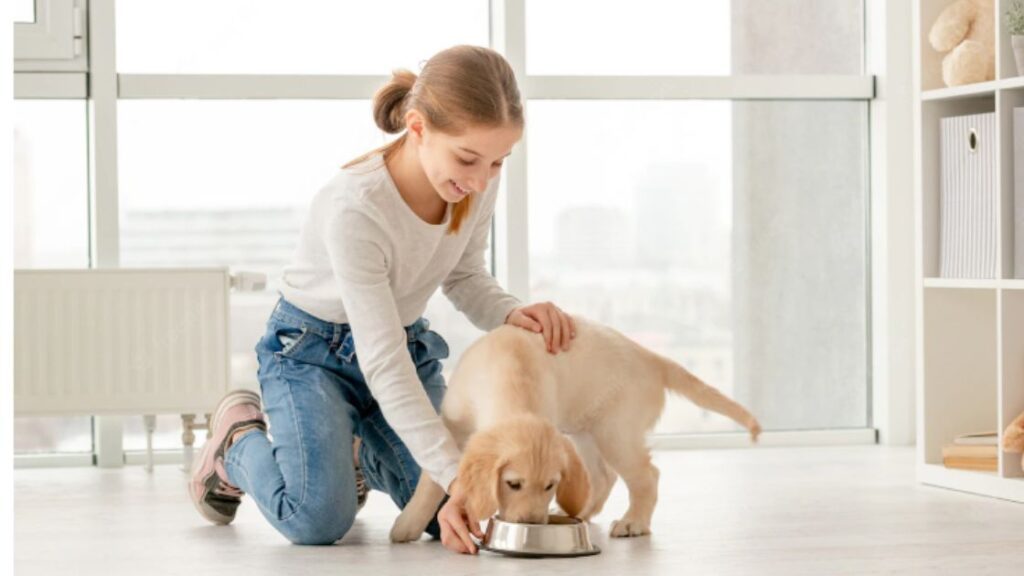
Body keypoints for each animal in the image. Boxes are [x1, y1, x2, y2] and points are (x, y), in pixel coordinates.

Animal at [391, 315, 761, 541]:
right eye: (513, 484)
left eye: (550, 486)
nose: (531, 524)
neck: (510, 373)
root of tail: (652, 358)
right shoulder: (451, 423)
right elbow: (430, 481)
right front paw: (408, 525)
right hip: (585, 429)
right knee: (603, 476)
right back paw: (581, 513)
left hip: (615, 432)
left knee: (645, 476)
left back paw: (633, 522)